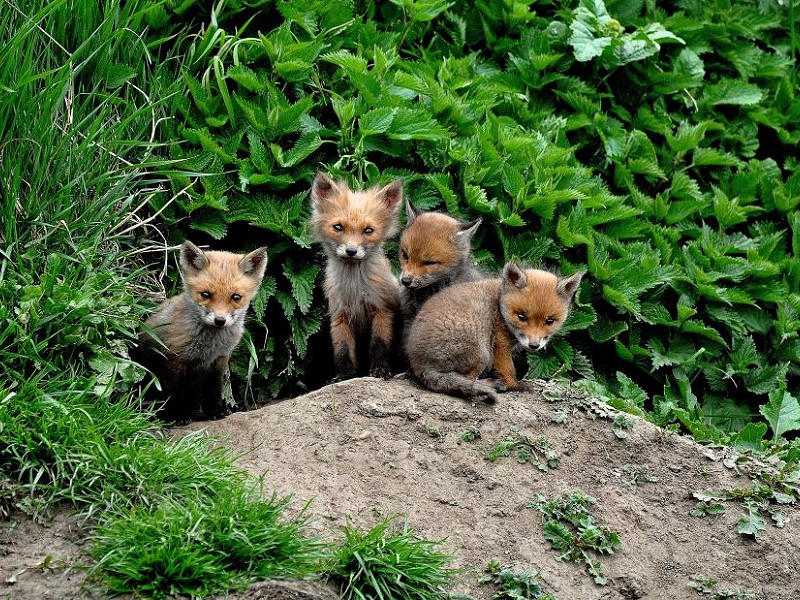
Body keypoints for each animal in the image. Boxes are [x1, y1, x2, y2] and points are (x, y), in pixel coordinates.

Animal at [131, 240, 268, 423]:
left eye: (236, 297)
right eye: (205, 294)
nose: (220, 320)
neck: (209, 347)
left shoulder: (219, 360)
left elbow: (213, 390)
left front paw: (216, 412)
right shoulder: (174, 358)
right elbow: (173, 392)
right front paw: (176, 416)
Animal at [310, 172, 402, 381]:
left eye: (368, 230)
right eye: (338, 227)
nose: (351, 251)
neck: (355, 291)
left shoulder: (382, 309)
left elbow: (379, 345)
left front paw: (380, 370)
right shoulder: (339, 316)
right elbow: (343, 350)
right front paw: (344, 376)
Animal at [406, 262, 582, 403]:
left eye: (549, 321)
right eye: (521, 316)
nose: (534, 345)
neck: (499, 304)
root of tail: (419, 364)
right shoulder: (500, 343)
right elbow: (509, 370)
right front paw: (515, 386)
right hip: (481, 353)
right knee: (467, 381)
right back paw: (490, 385)